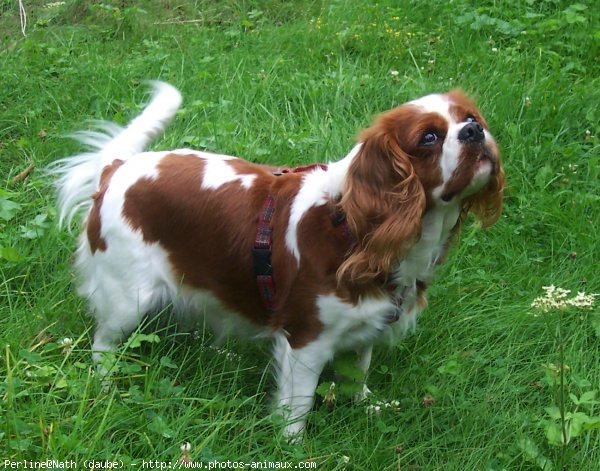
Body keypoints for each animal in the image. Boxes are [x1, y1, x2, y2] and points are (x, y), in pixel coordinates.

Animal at [55, 81, 502, 438]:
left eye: (470, 117)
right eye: (428, 137)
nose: (474, 131)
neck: (355, 228)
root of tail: (117, 169)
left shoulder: (366, 328)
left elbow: (357, 373)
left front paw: (366, 406)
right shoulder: (306, 340)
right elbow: (297, 408)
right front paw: (293, 447)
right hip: (126, 298)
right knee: (102, 345)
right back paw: (108, 387)